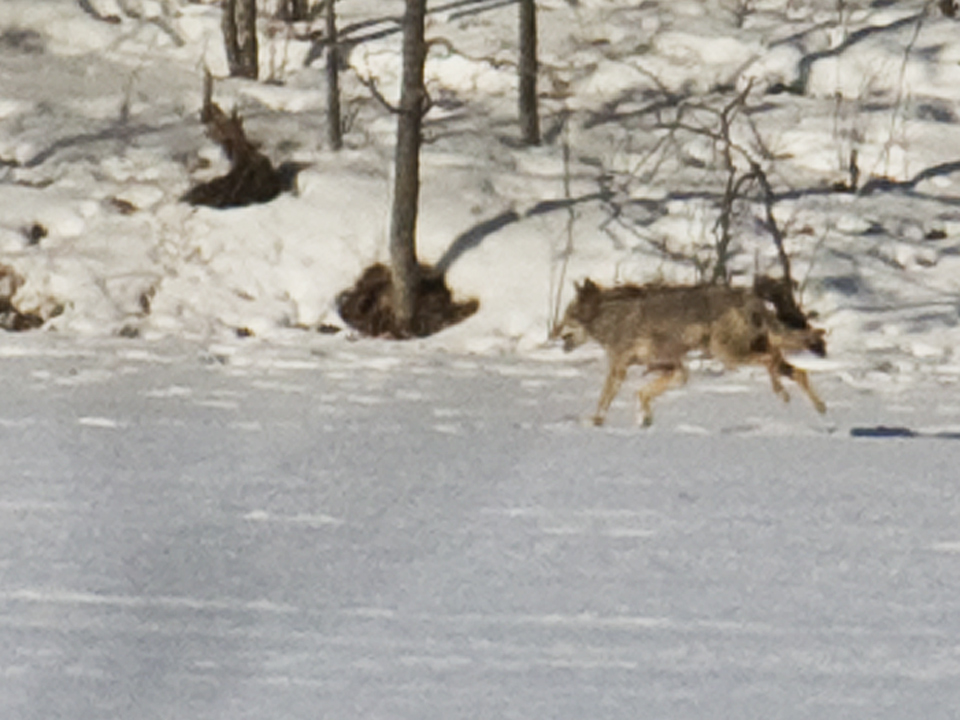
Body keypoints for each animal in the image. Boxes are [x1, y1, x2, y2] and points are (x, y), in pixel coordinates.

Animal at [551, 278, 827, 426]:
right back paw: (823, 413)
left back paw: (781, 393)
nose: (552, 334)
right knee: (797, 371)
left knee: (773, 361)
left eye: (566, 317)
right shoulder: (677, 370)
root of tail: (748, 295)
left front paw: (595, 423)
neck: (610, 318)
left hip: (727, 353)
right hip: (743, 351)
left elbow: (604, 399)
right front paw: (646, 419)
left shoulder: (619, 368)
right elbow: (643, 393)